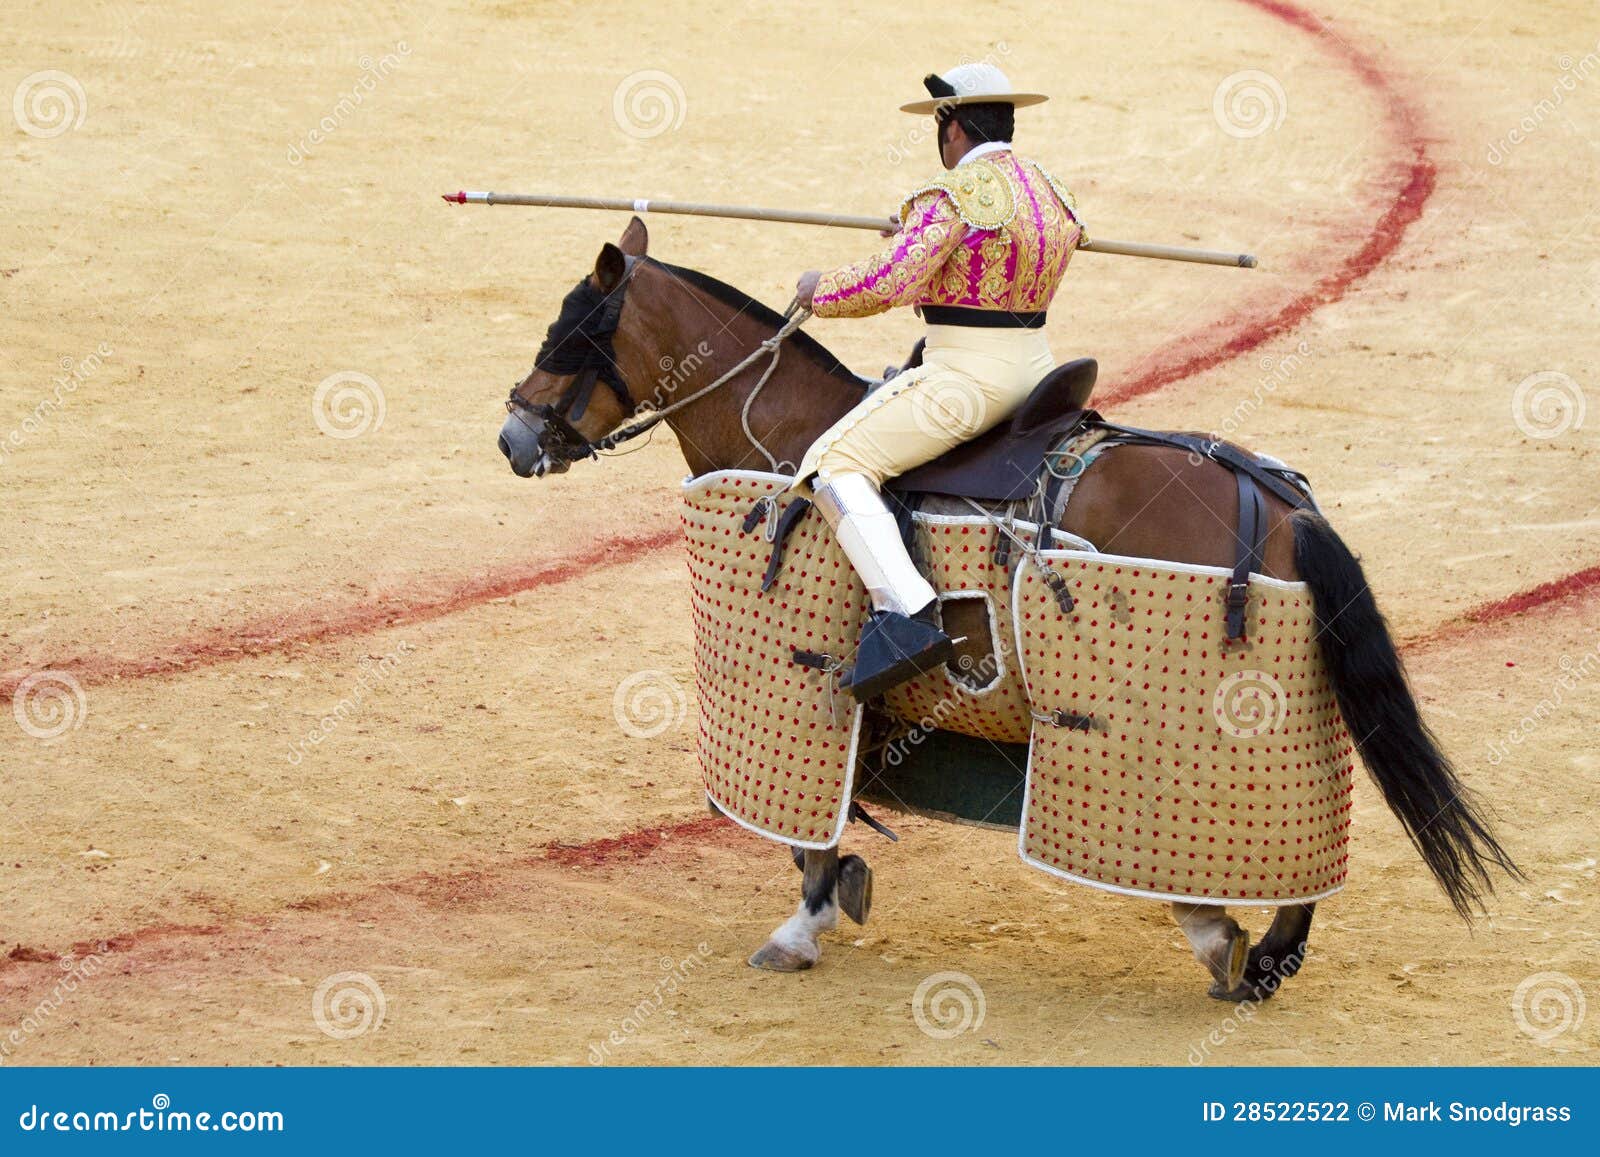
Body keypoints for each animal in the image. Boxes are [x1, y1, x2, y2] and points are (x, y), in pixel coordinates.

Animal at [496, 219, 1510, 1004]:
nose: (512, 435)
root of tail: (1282, 500)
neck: (787, 431)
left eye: (570, 331)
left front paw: (802, 923)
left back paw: (1228, 941)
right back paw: (1260, 953)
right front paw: (841, 889)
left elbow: (818, 823)